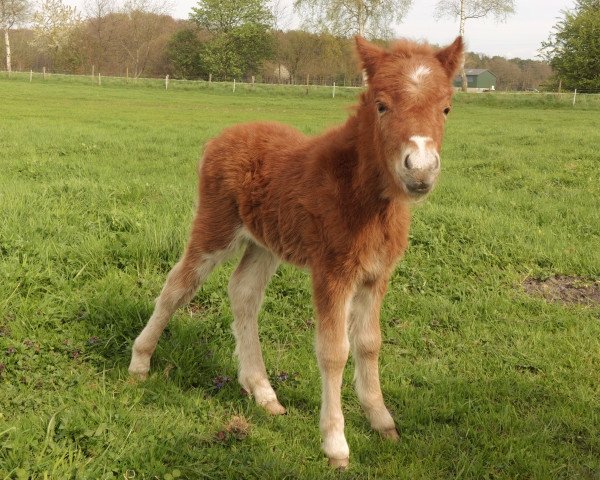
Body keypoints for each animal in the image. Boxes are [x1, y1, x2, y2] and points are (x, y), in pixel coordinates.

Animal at [130, 36, 464, 468]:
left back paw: (262, 391)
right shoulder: (331, 271)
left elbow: (369, 343)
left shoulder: (376, 275)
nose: (420, 170)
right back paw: (140, 362)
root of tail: (221, 137)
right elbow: (334, 350)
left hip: (263, 244)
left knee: (243, 293)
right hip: (215, 228)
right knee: (178, 286)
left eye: (446, 108)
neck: (362, 196)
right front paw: (336, 444)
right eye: (381, 105)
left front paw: (381, 421)